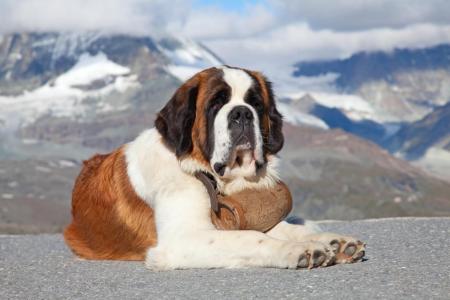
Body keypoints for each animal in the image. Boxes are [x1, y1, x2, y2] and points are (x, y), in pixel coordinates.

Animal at [64, 65, 366, 270]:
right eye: (216, 104)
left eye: (256, 103)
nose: (242, 112)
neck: (213, 177)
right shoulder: (183, 239)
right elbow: (251, 238)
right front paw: (298, 250)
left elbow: (281, 228)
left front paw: (333, 242)